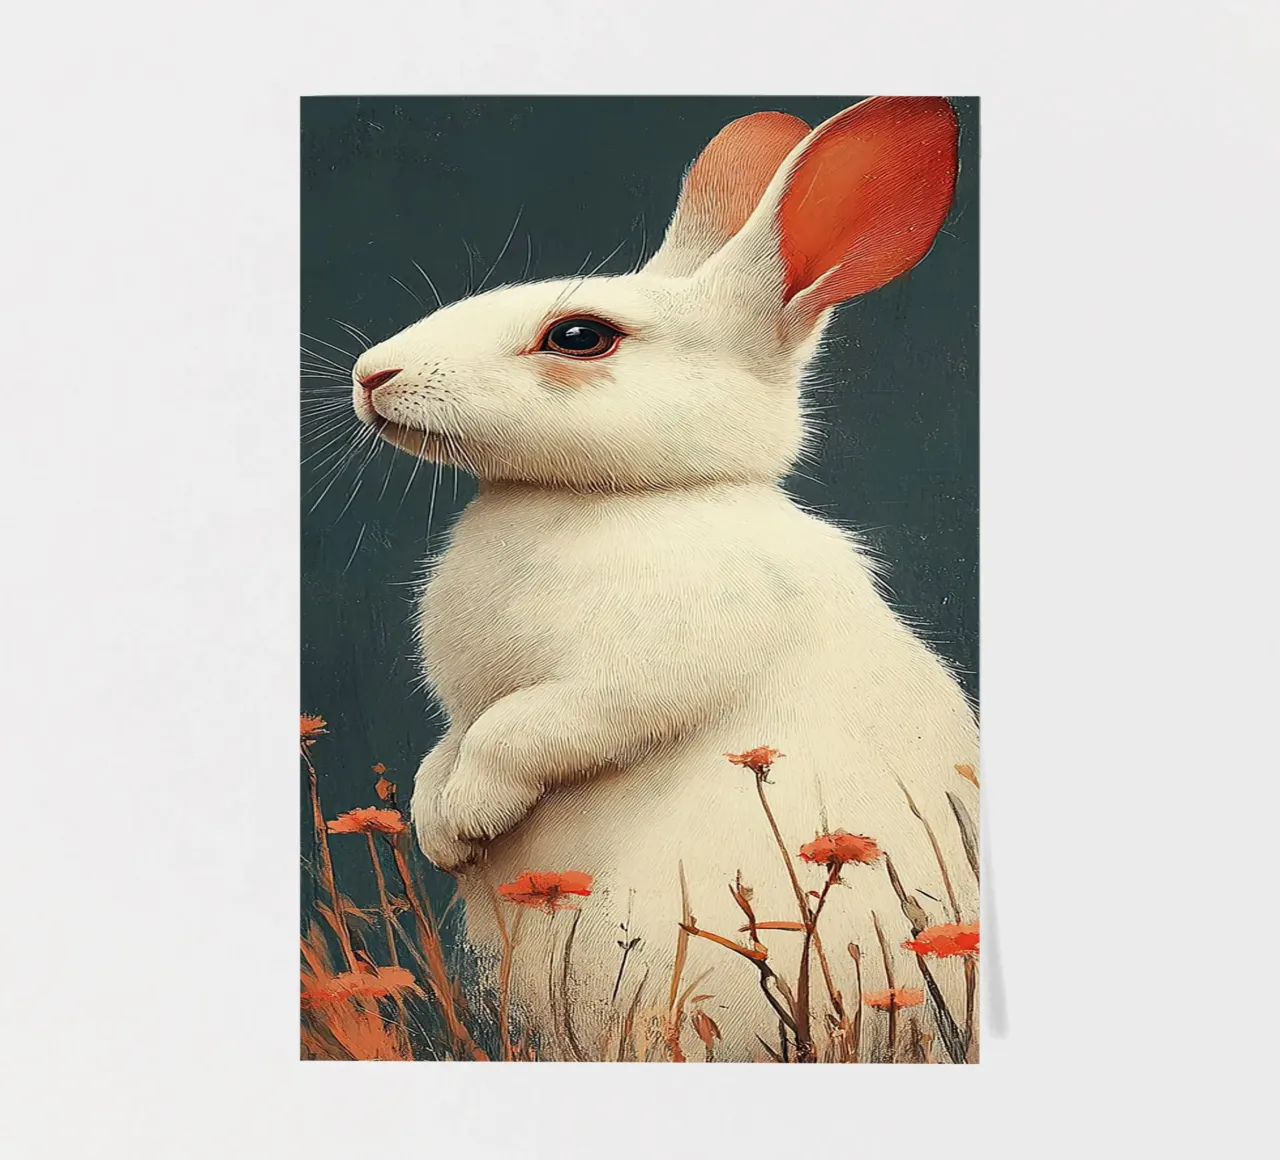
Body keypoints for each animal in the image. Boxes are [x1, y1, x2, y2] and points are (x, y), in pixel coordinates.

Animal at [350, 96, 979, 1062]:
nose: (369, 374)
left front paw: (467, 819)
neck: (609, 497)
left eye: (579, 336)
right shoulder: (465, 708)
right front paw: (435, 823)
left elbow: (521, 733)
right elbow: (450, 742)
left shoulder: (631, 677)